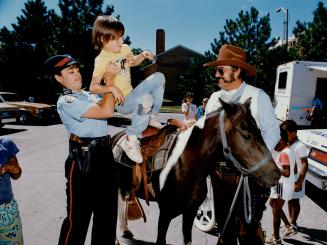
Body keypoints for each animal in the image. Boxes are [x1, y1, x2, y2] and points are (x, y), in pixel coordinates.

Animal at [113, 98, 282, 245]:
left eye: (259, 131)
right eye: (247, 135)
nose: (275, 174)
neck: (183, 169)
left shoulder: (190, 212)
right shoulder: (165, 214)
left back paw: (125, 231)